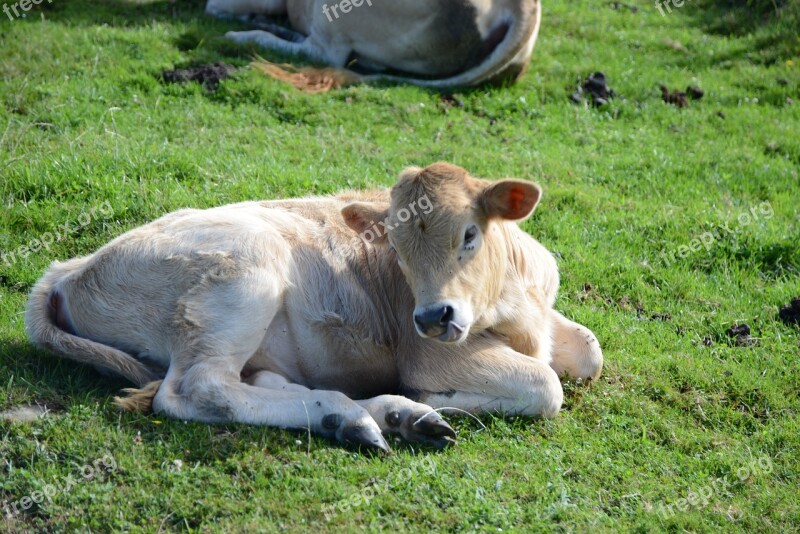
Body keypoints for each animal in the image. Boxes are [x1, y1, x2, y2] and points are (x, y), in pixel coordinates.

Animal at [23, 162, 600, 452]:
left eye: (469, 234)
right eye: (396, 249)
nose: (432, 317)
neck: (515, 300)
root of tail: (70, 268)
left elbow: (590, 353)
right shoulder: (429, 354)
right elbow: (546, 386)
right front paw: (445, 397)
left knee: (257, 380)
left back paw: (385, 417)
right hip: (244, 274)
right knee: (196, 390)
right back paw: (358, 415)